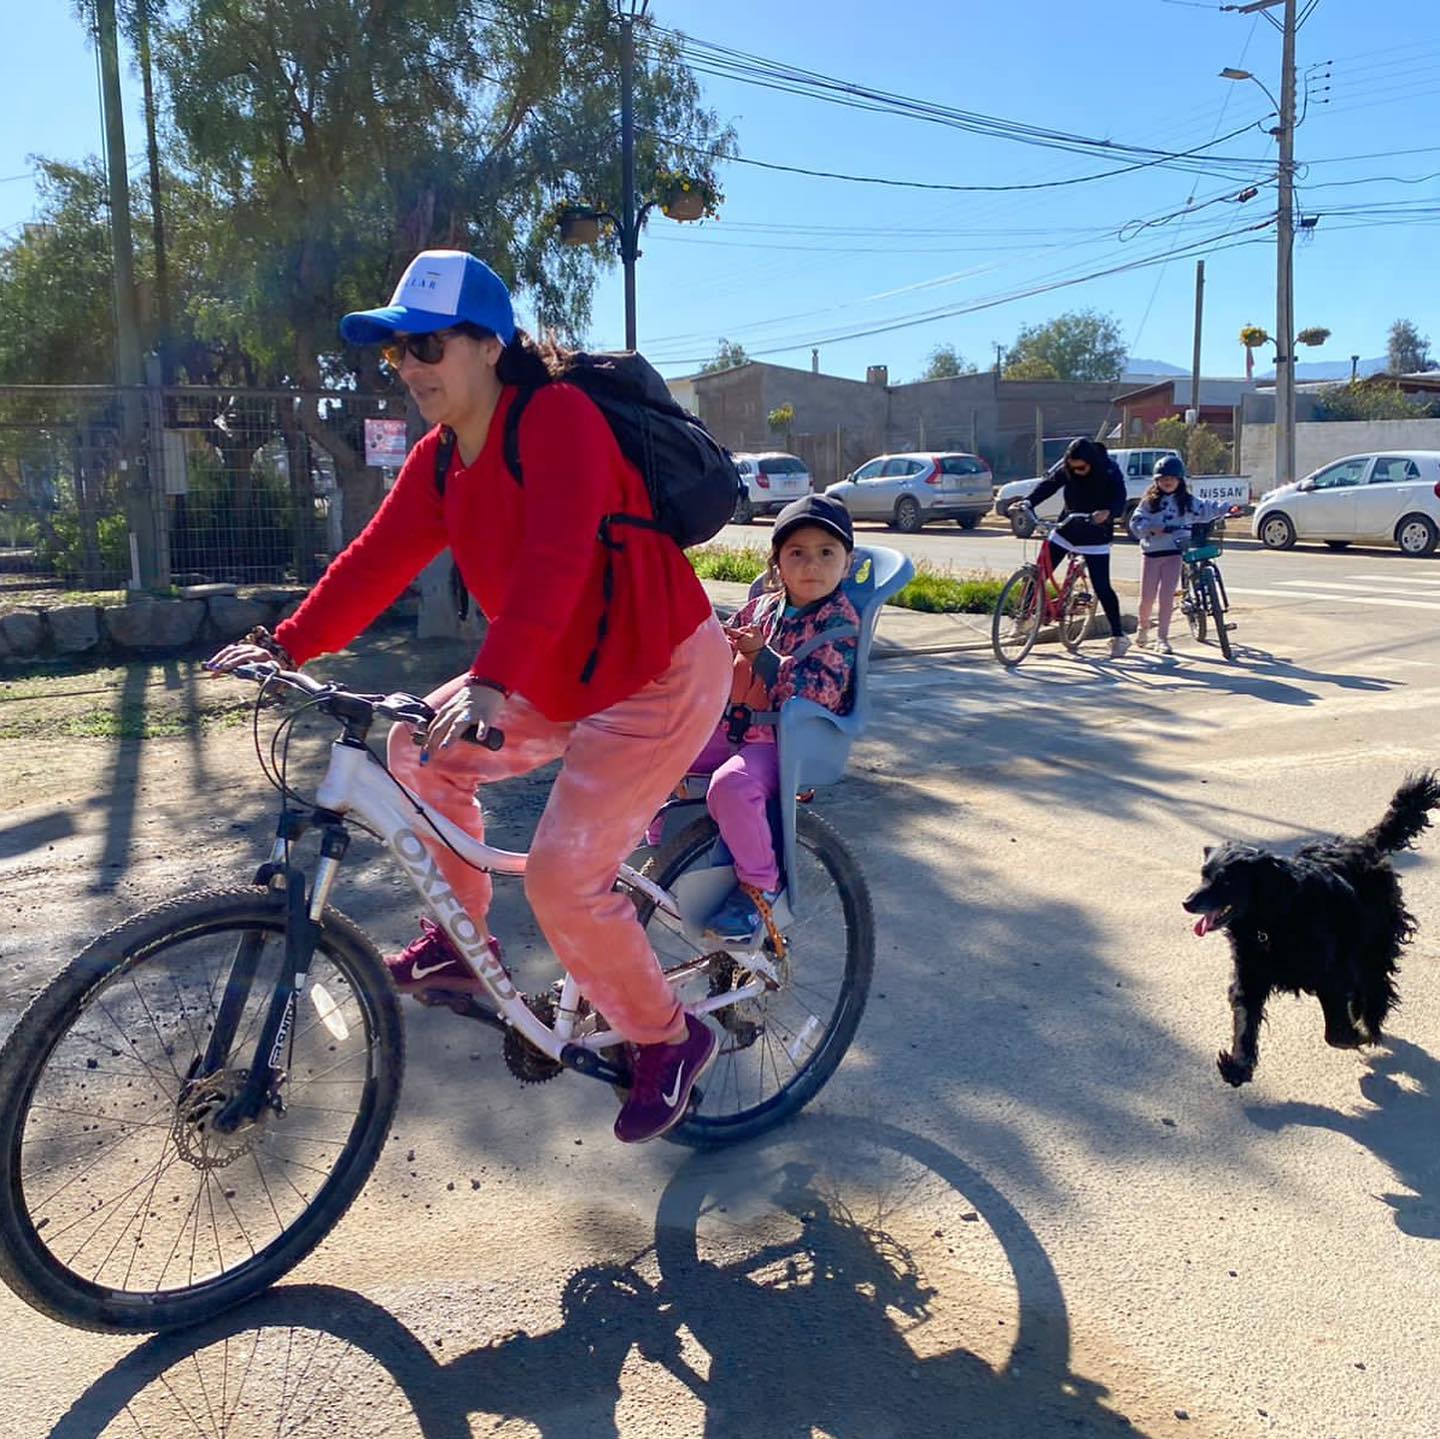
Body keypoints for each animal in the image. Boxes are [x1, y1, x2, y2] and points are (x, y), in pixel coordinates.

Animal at [1180, 772, 1440, 1083]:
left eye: (1226, 881)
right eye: (1203, 874)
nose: (1187, 902)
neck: (1272, 919)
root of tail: (1365, 843)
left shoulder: (1330, 972)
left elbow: (1334, 1032)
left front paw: (1355, 1036)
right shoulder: (1250, 976)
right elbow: (1245, 1019)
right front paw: (1238, 1065)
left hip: (1375, 940)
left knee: (1376, 983)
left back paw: (1370, 1024)